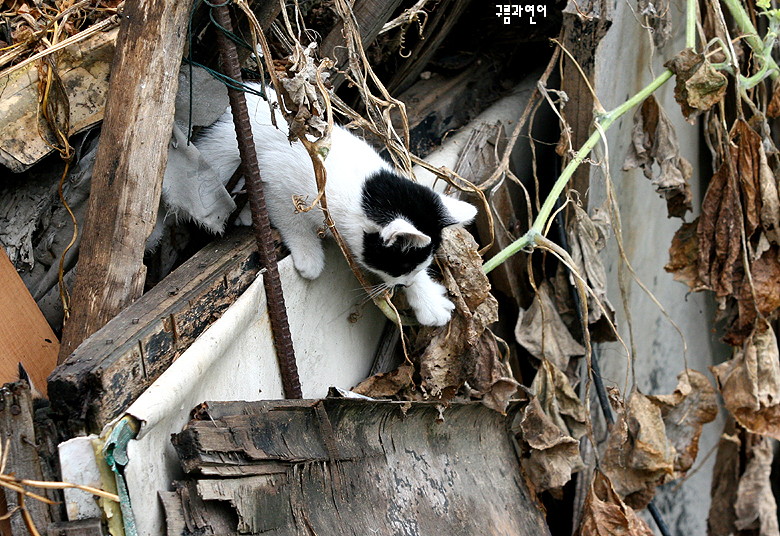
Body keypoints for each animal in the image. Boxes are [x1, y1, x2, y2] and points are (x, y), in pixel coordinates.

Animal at [195, 85, 476, 326]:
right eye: (401, 267)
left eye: (416, 267)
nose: (404, 285)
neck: (362, 189)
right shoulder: (276, 183)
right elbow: (291, 220)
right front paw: (309, 255)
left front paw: (428, 298)